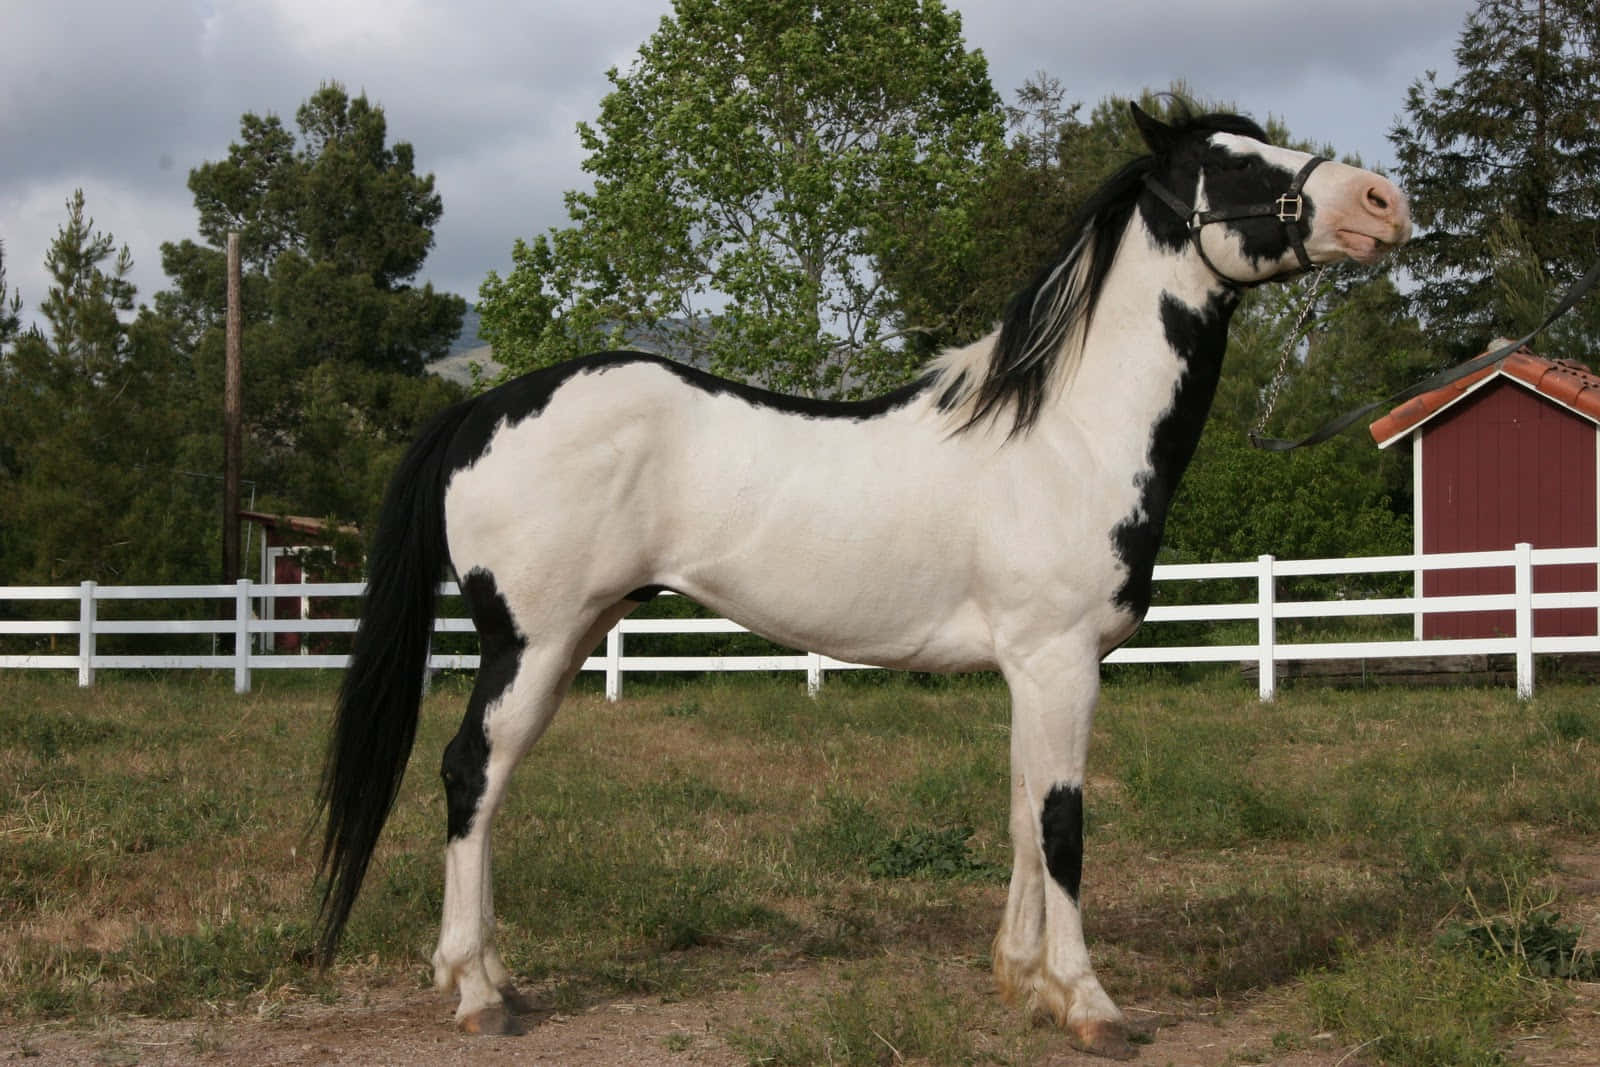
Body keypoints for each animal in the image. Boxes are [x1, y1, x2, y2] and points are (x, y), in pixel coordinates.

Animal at [315, 103, 1410, 1058]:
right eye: (1235, 165)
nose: (1383, 202)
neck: (1065, 437)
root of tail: (486, 403)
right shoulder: (1058, 658)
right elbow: (1062, 821)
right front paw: (1091, 1003)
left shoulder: (1035, 668)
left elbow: (1022, 808)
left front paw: (1026, 981)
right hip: (531, 640)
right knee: (471, 772)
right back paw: (476, 992)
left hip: (569, 639)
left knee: (489, 783)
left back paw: (493, 976)